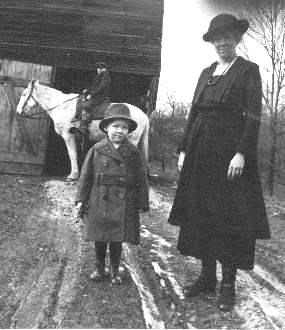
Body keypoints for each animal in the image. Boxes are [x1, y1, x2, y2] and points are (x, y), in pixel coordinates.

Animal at [16, 80, 149, 180]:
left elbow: (72, 154)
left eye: (24, 94)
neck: (62, 106)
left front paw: (73, 175)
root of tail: (144, 115)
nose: (18, 112)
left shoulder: (68, 135)